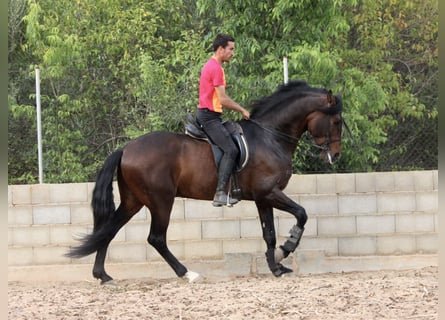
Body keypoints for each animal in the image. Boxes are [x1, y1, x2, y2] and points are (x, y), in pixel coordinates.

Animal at [65, 79, 344, 282]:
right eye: (336, 121)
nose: (335, 155)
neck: (270, 137)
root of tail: (125, 149)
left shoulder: (262, 198)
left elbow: (269, 234)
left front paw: (276, 267)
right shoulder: (270, 193)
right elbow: (302, 214)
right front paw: (287, 248)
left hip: (134, 200)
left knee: (109, 229)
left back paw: (102, 275)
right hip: (161, 200)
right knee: (156, 238)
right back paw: (187, 273)